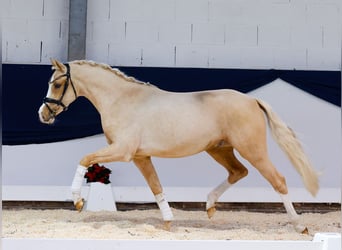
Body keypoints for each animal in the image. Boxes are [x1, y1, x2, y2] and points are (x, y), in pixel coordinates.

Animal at [38, 58, 320, 232]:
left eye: (58, 84)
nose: (43, 115)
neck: (123, 99)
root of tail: (251, 100)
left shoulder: (123, 151)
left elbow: (85, 159)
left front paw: (77, 201)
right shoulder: (140, 157)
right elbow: (156, 187)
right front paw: (168, 222)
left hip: (252, 150)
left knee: (278, 180)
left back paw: (300, 226)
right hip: (219, 149)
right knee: (238, 172)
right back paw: (209, 206)